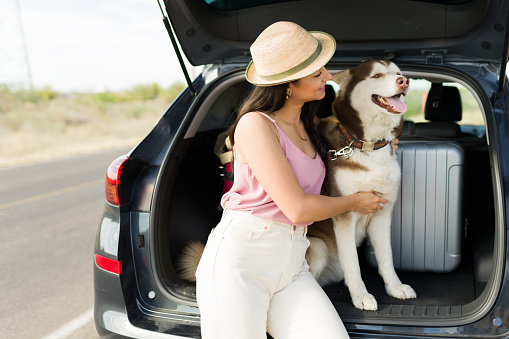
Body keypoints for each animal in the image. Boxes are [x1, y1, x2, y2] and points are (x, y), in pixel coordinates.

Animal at [308, 60, 414, 310]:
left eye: (398, 73)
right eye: (376, 75)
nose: (404, 81)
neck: (369, 146)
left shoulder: (382, 212)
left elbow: (387, 258)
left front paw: (395, 288)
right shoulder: (344, 215)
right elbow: (353, 264)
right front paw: (361, 296)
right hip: (318, 247)